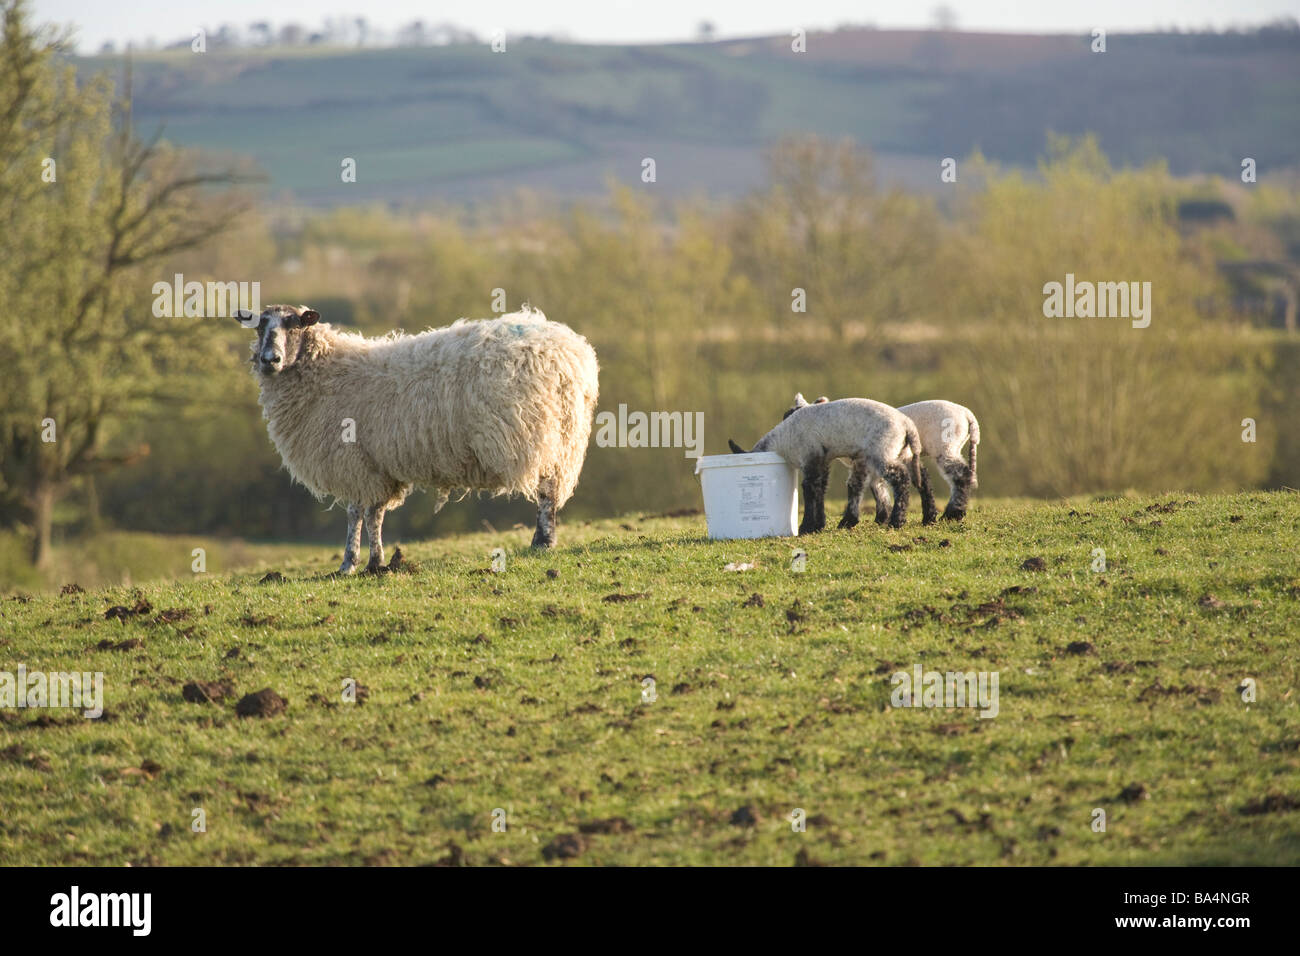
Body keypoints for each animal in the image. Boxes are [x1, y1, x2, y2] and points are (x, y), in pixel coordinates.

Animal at [236, 304, 599, 573]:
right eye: (260, 327)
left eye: (295, 325)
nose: (270, 360)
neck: (328, 371)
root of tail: (571, 356)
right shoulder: (376, 466)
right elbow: (375, 514)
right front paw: (375, 562)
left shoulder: (354, 462)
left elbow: (358, 513)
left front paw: (353, 563)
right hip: (565, 435)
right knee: (552, 489)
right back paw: (543, 540)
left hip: (540, 432)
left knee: (546, 490)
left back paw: (543, 542)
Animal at [727, 393, 937, 532]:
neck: (782, 440)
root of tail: (907, 426)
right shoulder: (822, 460)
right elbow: (821, 489)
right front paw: (818, 524)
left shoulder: (810, 456)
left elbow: (810, 489)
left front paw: (806, 526)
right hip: (903, 452)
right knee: (922, 477)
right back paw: (929, 517)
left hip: (882, 451)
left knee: (901, 479)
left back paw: (896, 521)